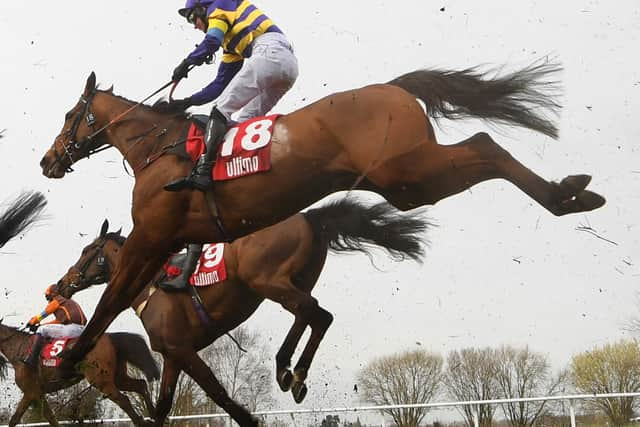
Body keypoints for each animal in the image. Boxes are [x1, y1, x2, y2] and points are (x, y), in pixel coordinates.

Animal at [38, 59, 604, 427]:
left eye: (69, 115)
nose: (48, 160)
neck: (160, 148)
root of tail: (392, 87)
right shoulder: (169, 252)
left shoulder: (152, 238)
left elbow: (110, 303)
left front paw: (69, 360)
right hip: (397, 188)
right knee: (313, 310)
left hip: (407, 174)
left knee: (485, 147)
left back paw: (566, 195)